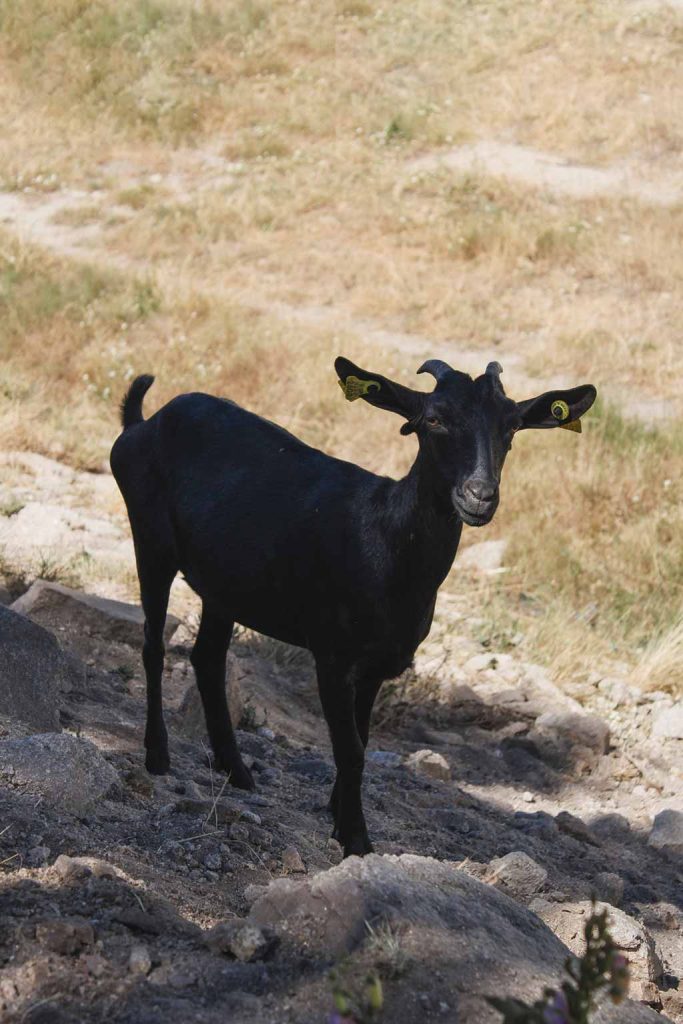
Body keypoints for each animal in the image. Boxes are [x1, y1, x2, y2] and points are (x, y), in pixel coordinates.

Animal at [110, 357, 596, 856]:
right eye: (434, 419)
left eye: (512, 427)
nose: (479, 496)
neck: (387, 543)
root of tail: (143, 423)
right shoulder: (333, 656)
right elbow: (350, 749)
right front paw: (356, 838)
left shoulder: (377, 665)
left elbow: (360, 740)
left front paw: (339, 812)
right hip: (150, 540)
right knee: (153, 646)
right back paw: (158, 755)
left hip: (222, 586)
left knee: (207, 658)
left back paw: (237, 770)